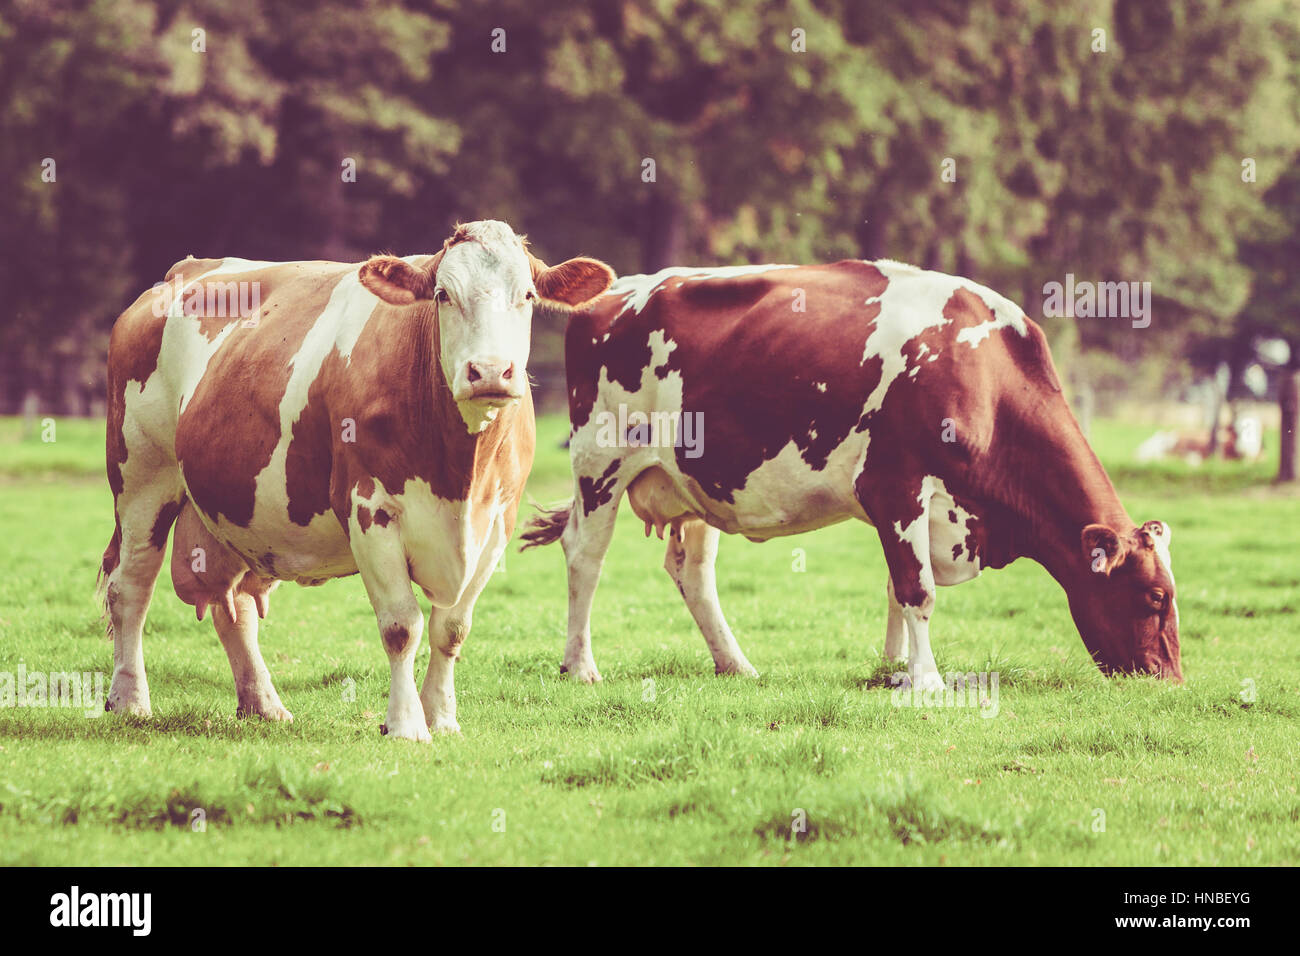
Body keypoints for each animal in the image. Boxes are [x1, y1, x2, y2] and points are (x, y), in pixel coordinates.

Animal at [97, 220, 615, 740]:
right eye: (443, 295)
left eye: (527, 295)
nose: (489, 370)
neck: (460, 475)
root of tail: (181, 271)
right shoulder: (369, 509)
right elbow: (402, 626)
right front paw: (406, 724)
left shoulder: (496, 523)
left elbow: (452, 629)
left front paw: (442, 717)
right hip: (141, 479)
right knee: (130, 587)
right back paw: (129, 700)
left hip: (238, 512)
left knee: (233, 607)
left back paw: (263, 704)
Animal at [521, 260, 1183, 689]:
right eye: (1155, 596)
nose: (1170, 679)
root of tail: (613, 293)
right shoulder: (895, 485)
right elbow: (917, 589)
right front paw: (927, 681)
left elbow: (895, 585)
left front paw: (894, 670)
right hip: (600, 462)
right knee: (585, 556)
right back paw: (580, 666)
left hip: (695, 482)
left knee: (693, 572)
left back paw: (735, 664)